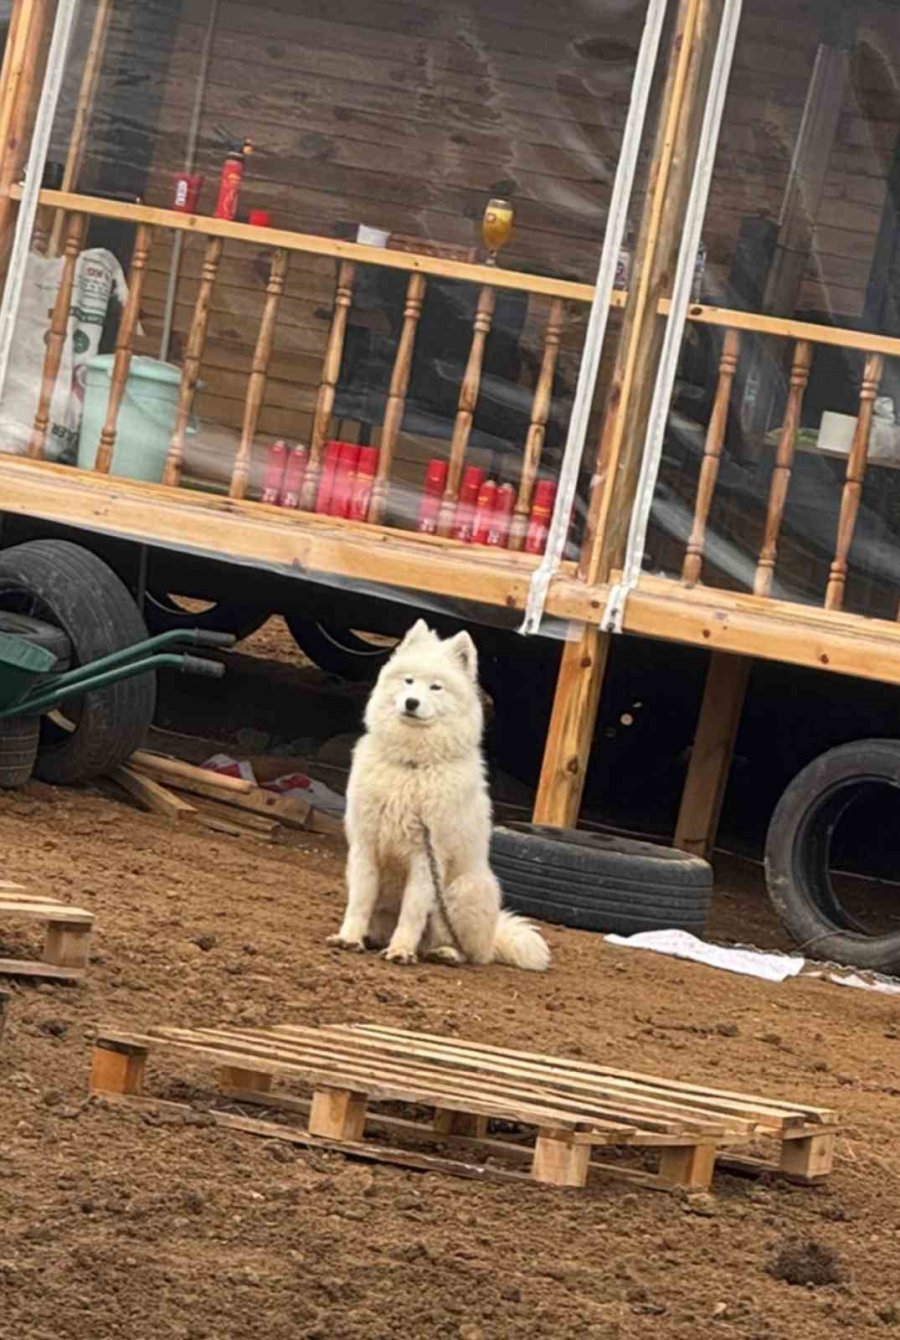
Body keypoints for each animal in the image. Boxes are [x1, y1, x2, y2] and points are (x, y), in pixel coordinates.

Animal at [330, 616, 551, 975]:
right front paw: (348, 938)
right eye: (409, 681)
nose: (411, 703)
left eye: (436, 687)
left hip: (462, 891)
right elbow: (360, 901)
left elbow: (412, 913)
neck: (412, 766)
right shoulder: (366, 848)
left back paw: (444, 953)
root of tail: (492, 937)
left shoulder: (426, 856)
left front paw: (400, 951)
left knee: (469, 952)